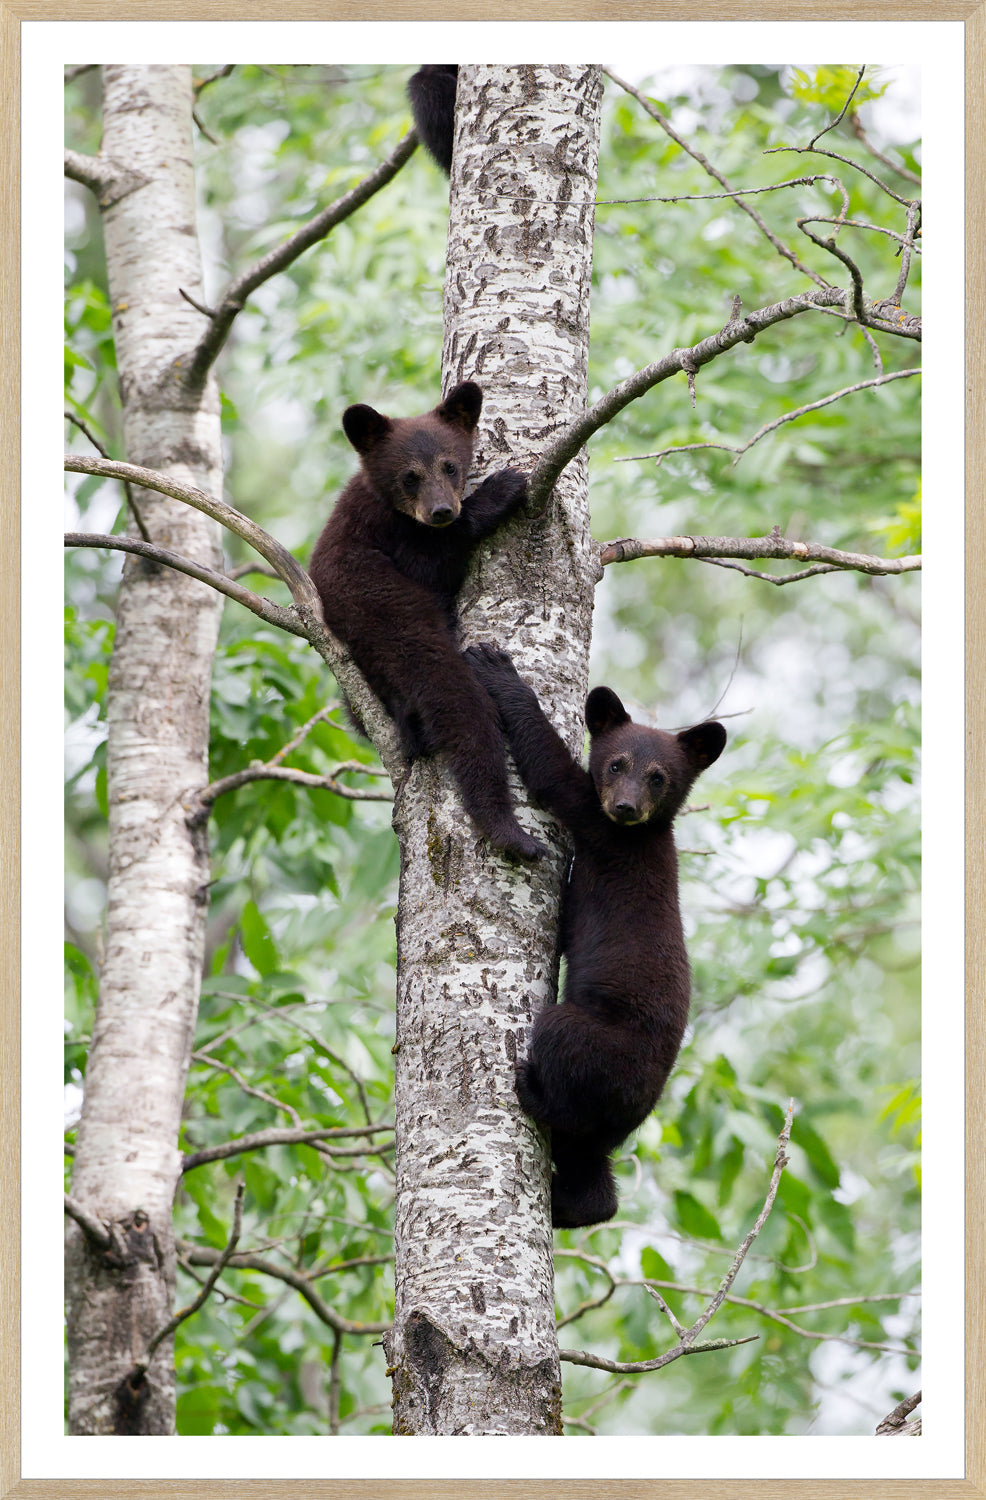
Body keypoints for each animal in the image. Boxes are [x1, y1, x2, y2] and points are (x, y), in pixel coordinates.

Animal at [308, 382, 544, 863]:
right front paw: (501, 489)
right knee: (459, 705)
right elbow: (432, 563)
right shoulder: (390, 536)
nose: (442, 511)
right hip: (392, 625)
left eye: (450, 466)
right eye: (409, 476)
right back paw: (510, 831)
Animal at [465, 643, 727, 1228]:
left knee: (563, 1070)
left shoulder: (597, 824)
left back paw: (531, 1092)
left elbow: (552, 773)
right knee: (589, 1164)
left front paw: (499, 672)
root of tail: (638, 1106)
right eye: (617, 763)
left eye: (658, 776)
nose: (624, 806)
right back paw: (575, 1205)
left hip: (595, 1045)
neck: (644, 833)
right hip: (603, 1124)